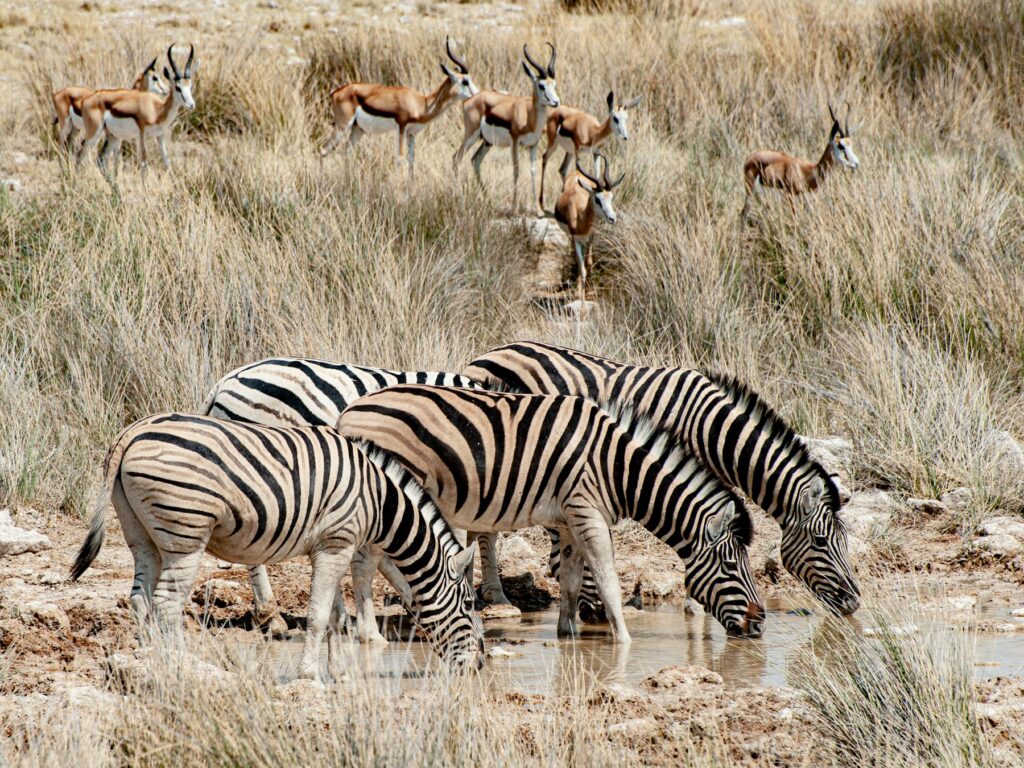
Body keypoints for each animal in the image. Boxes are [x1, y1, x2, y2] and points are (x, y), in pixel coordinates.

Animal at [69, 413, 484, 680]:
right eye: (467, 604)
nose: (478, 666)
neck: (380, 503)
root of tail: (133, 431)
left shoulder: (331, 547)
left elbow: (335, 616)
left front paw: (341, 672)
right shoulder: (338, 543)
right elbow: (318, 616)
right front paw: (308, 674)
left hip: (141, 535)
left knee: (140, 599)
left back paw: (147, 661)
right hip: (185, 534)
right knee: (166, 605)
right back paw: (179, 666)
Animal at [336, 384, 765, 642]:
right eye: (731, 566)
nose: (760, 624)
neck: (619, 467)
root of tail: (350, 409)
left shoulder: (570, 518)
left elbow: (573, 580)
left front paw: (568, 633)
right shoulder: (587, 512)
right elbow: (607, 580)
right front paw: (624, 643)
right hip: (389, 499)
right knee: (363, 564)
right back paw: (370, 635)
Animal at [463, 341, 860, 616]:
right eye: (822, 542)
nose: (854, 603)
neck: (711, 429)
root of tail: (490, 351)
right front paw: (695, 606)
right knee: (486, 529)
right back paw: (497, 596)